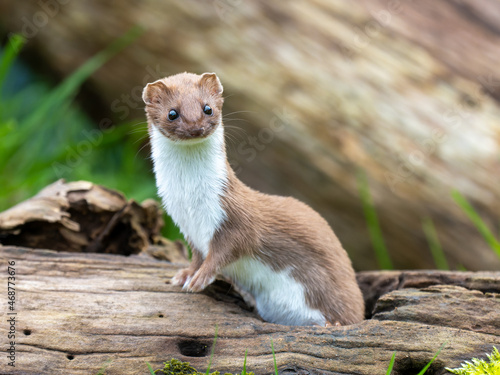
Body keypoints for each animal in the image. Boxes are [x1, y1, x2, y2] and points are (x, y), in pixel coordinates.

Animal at [143, 72, 366, 328]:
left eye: (207, 108)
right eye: (172, 113)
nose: (195, 127)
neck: (190, 202)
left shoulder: (233, 217)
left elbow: (227, 250)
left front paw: (199, 278)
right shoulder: (187, 226)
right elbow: (198, 255)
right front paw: (185, 274)